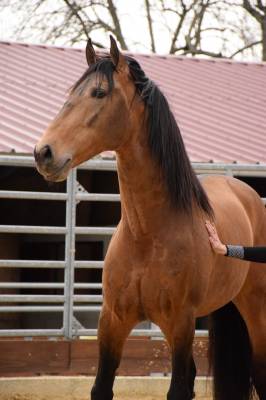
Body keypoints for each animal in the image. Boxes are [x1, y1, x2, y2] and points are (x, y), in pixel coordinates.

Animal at [34, 36, 266, 398]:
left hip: (255, 312)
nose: (43, 153)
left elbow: (177, 390)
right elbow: (101, 387)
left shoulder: (181, 323)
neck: (147, 233)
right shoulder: (112, 321)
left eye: (99, 92)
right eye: (71, 93)